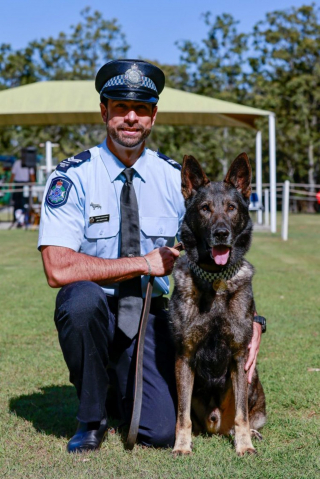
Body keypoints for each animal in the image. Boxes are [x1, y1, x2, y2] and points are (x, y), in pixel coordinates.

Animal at [170, 154, 264, 458]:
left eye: (231, 208)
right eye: (205, 209)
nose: (221, 233)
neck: (215, 280)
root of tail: (215, 424)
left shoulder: (239, 356)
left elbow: (242, 415)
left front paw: (244, 445)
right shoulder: (184, 356)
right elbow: (182, 415)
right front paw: (181, 446)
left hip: (252, 377)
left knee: (242, 415)